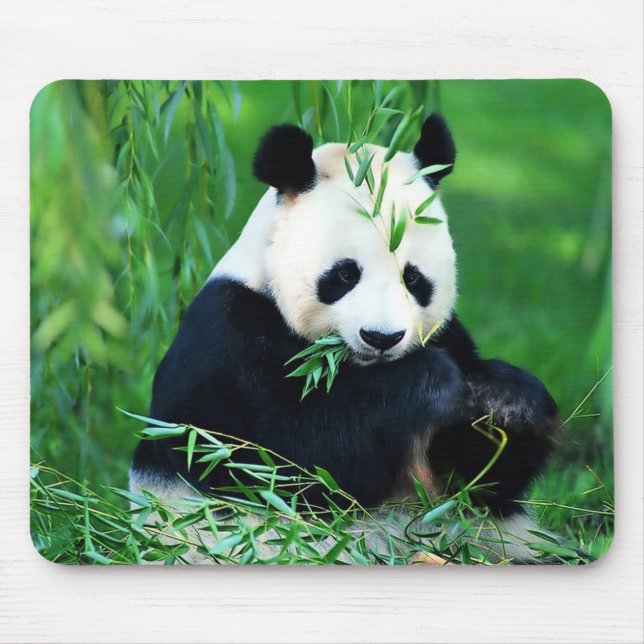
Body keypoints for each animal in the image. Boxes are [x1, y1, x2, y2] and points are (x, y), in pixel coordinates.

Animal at [130, 114, 561, 563]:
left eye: (413, 278)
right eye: (345, 274)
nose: (382, 337)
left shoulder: (448, 335)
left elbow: (479, 481)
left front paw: (506, 400)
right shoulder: (226, 340)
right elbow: (288, 459)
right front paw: (429, 381)